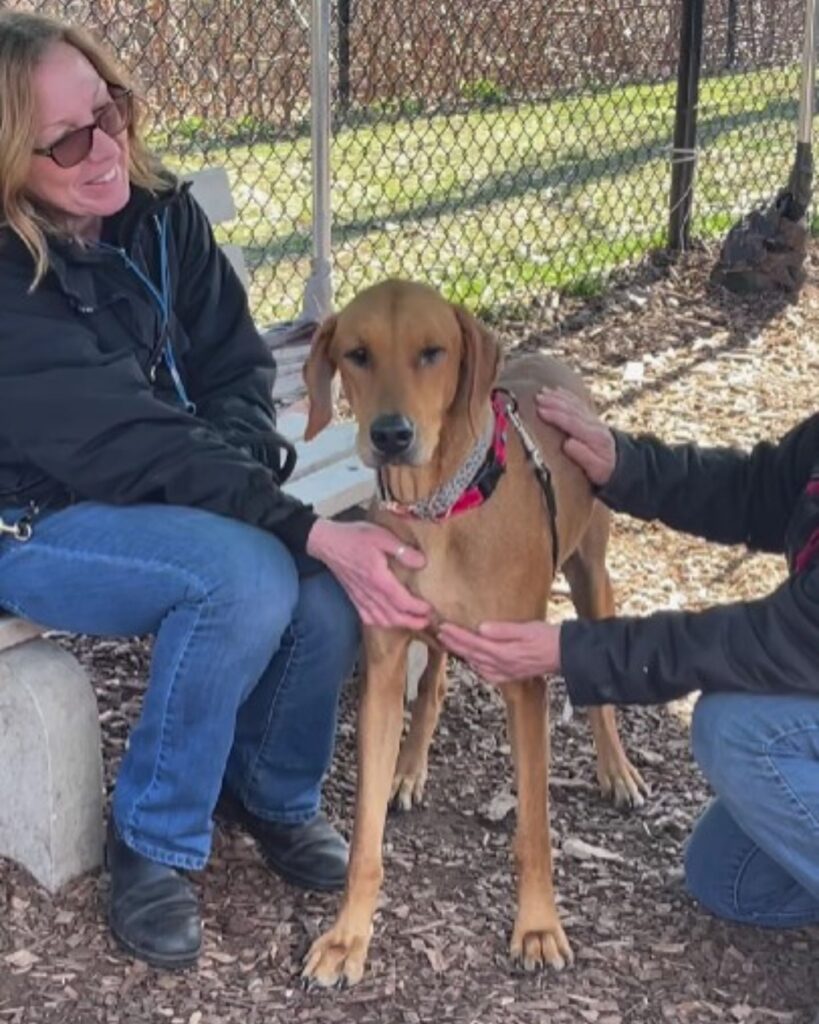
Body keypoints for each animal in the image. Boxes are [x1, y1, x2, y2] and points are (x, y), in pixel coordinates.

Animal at [300, 278, 647, 983]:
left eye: (432, 352)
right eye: (357, 354)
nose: (391, 435)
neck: (437, 507)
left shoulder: (523, 676)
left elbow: (534, 828)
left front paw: (538, 928)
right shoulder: (383, 670)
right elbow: (364, 837)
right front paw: (348, 936)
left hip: (592, 575)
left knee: (599, 681)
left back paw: (617, 770)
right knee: (433, 683)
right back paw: (409, 770)